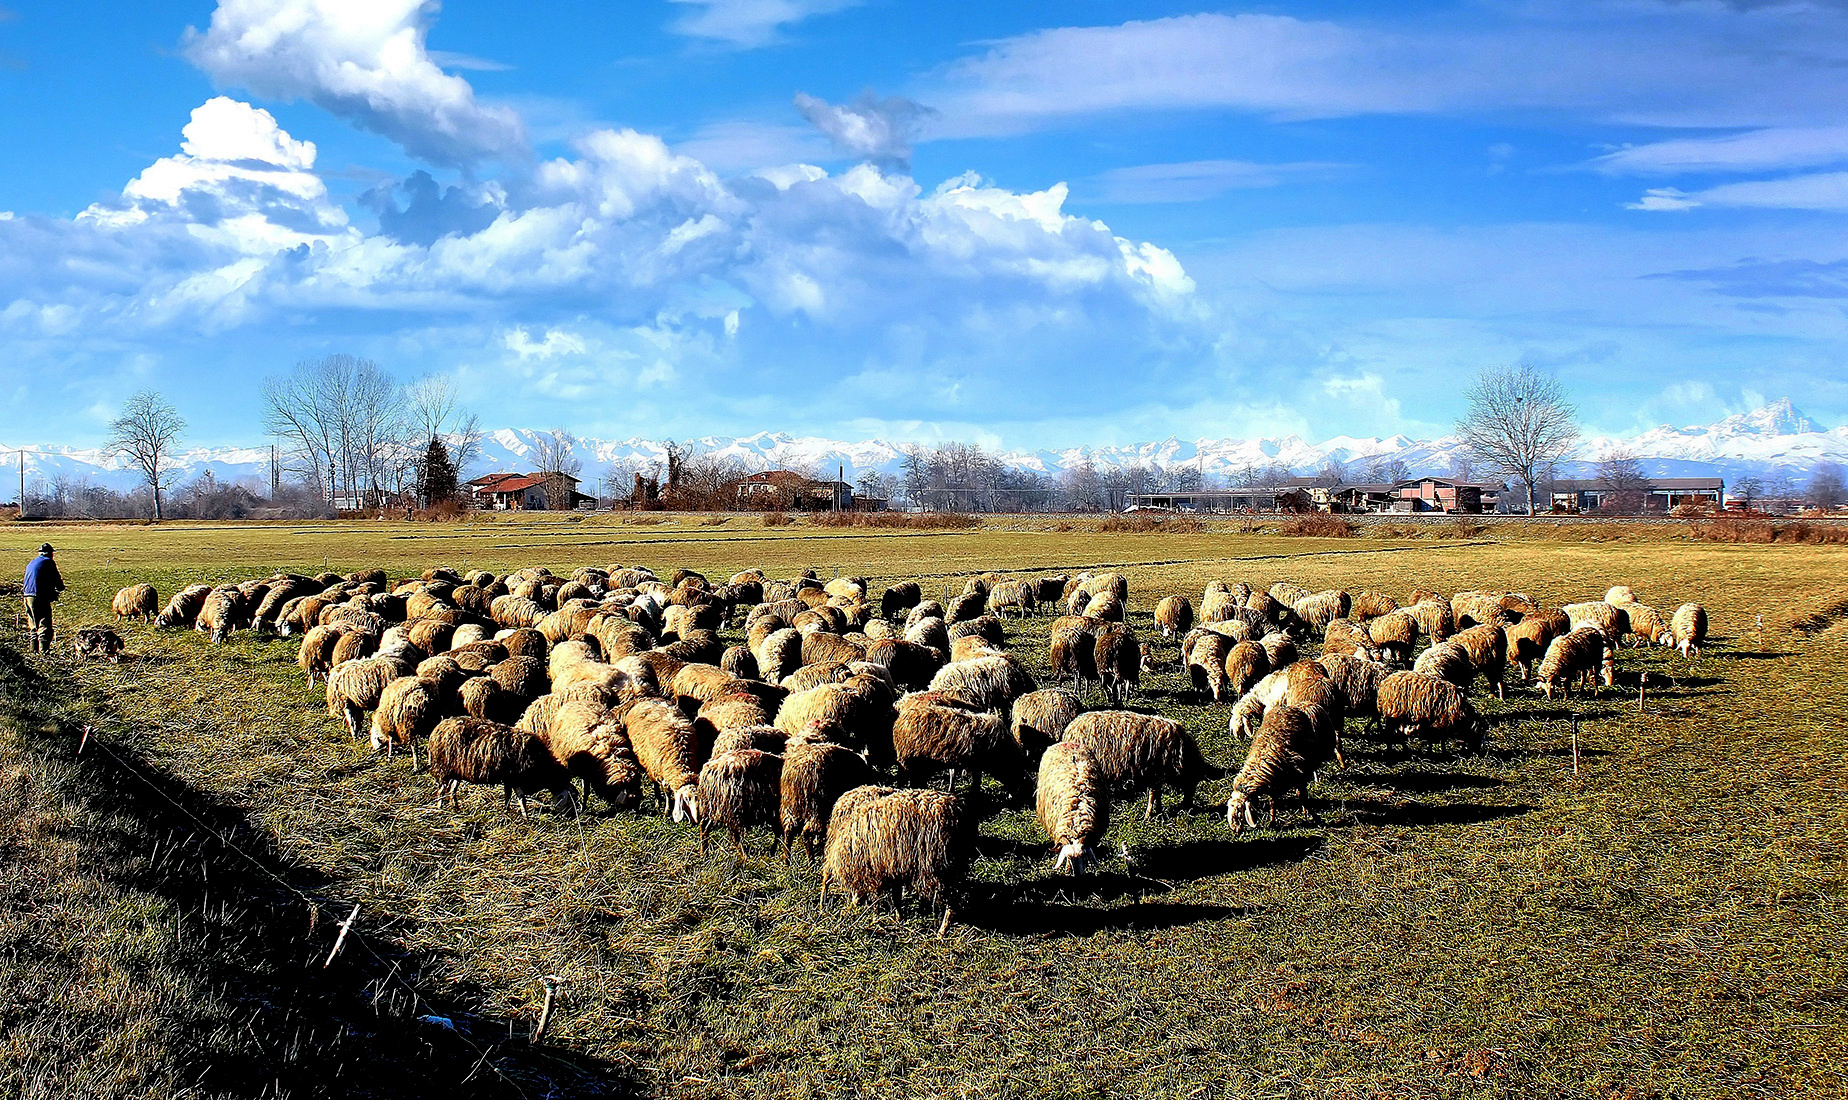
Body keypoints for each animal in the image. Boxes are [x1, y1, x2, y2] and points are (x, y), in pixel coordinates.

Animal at [428, 713, 572, 817]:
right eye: (570, 799)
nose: (568, 817)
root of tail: (439, 726)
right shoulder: (515, 777)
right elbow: (521, 798)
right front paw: (525, 817)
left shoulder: (509, 779)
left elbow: (508, 795)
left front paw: (507, 810)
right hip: (443, 768)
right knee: (441, 790)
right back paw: (439, 808)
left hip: (457, 770)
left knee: (452, 790)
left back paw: (456, 808)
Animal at [820, 787, 975, 935]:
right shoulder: (893, 867)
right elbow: (895, 896)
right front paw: (898, 918)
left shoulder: (877, 869)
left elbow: (878, 898)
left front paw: (876, 918)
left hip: (939, 867)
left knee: (952, 901)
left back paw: (942, 932)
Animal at [1064, 709, 1219, 820]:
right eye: (1193, 784)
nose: (1189, 807)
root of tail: (1070, 728)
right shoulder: (1156, 772)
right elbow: (1153, 794)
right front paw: (1149, 815)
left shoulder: (1156, 774)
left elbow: (1156, 793)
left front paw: (1158, 810)